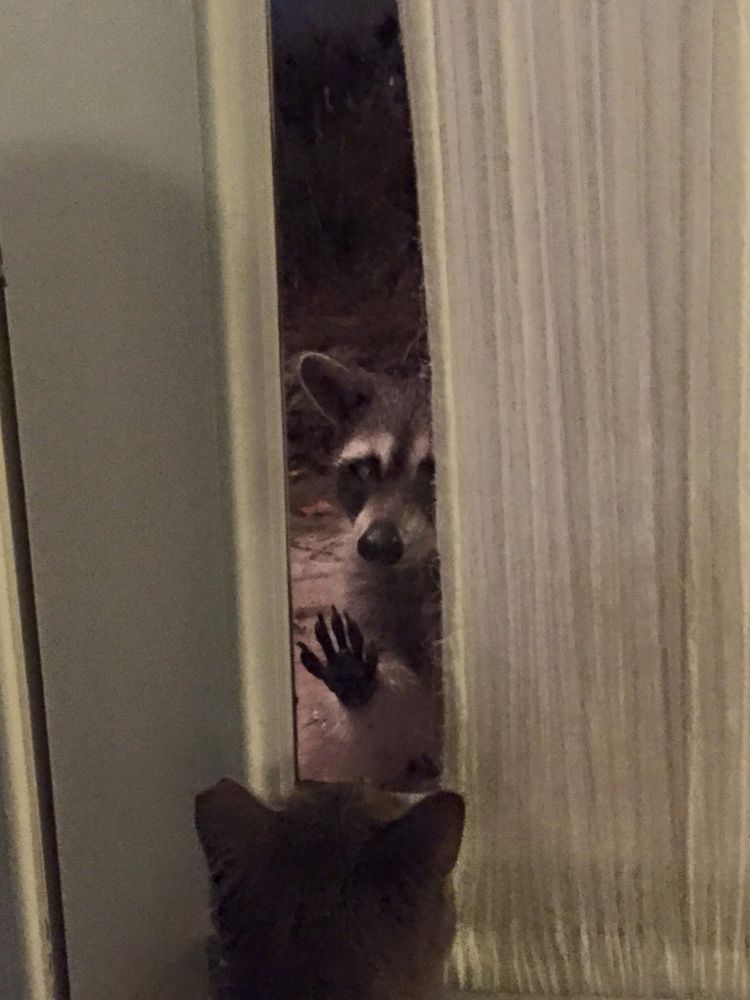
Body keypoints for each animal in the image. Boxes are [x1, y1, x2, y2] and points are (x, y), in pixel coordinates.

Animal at [296, 352, 441, 710]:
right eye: (364, 470)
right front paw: (358, 681)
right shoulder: (364, 582)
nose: (377, 544)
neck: (412, 569)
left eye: (435, 476)